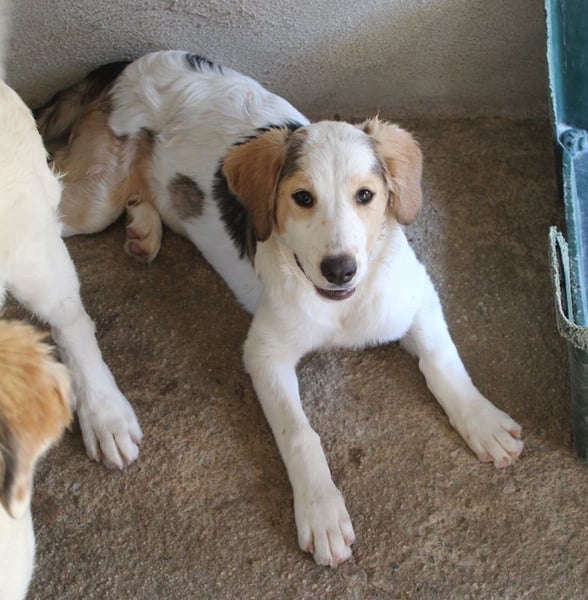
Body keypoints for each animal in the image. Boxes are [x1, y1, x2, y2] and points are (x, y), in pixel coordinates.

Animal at [35, 50, 525, 567]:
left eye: (366, 196)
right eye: (302, 198)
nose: (340, 270)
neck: (341, 306)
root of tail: (127, 64)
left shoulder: (418, 297)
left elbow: (444, 363)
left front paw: (482, 421)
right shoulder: (265, 354)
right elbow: (301, 434)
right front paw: (322, 512)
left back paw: (144, 230)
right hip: (91, 202)